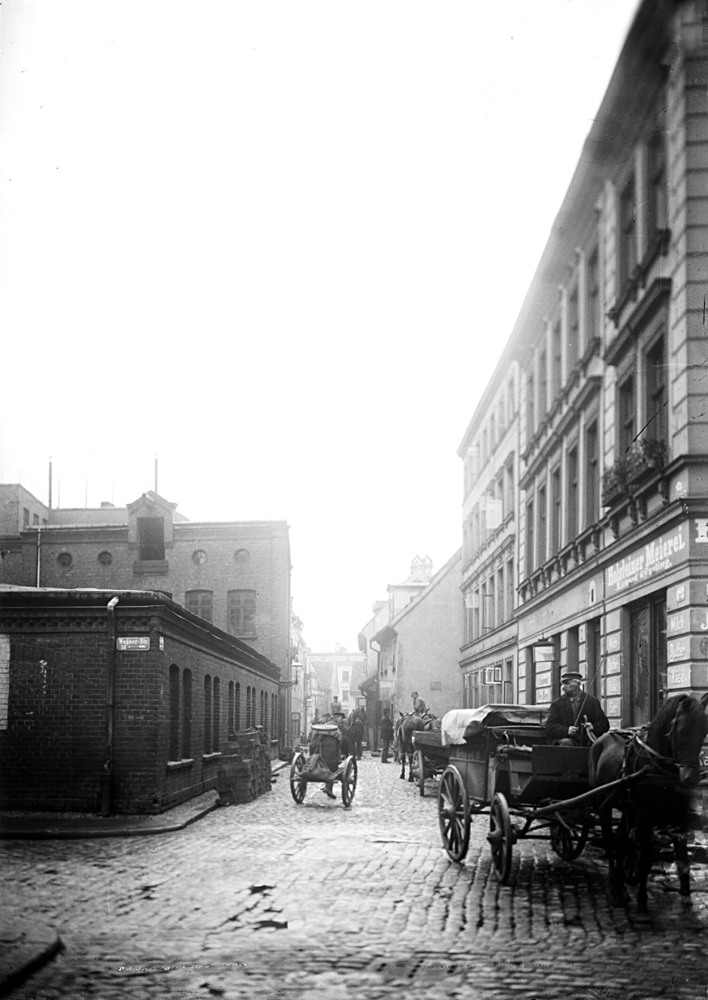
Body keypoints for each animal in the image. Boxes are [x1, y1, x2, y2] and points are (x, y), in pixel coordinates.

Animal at [588, 692, 708, 912]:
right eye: (682, 730)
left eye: (704, 731)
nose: (691, 778)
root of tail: (599, 740)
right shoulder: (644, 817)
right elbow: (645, 858)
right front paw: (642, 900)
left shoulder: (674, 816)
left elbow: (678, 857)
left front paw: (684, 895)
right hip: (604, 802)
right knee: (610, 840)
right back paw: (615, 888)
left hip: (626, 808)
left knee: (621, 839)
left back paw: (621, 887)